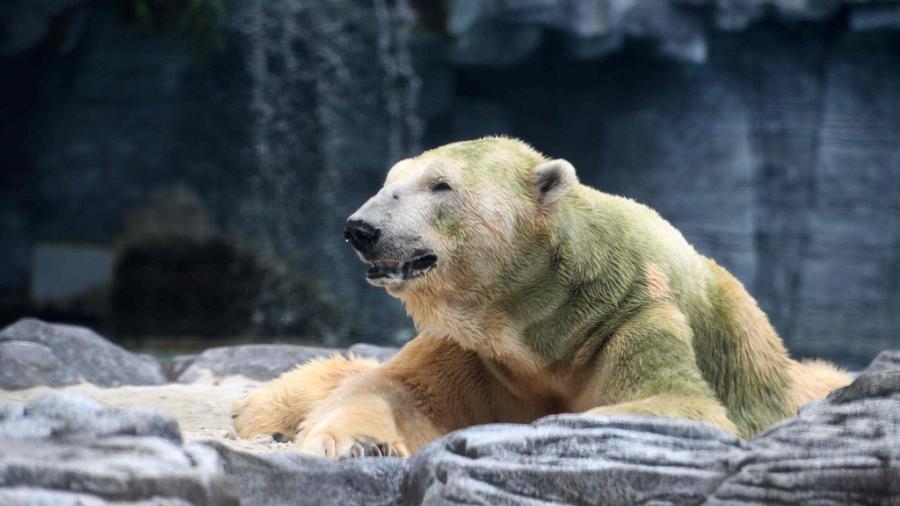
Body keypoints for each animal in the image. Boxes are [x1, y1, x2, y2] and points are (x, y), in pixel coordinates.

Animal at [232, 136, 851, 458]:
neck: (546, 321)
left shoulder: (636, 320)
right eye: (389, 183)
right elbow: (395, 390)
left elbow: (677, 403)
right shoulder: (477, 349)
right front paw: (360, 444)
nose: (361, 229)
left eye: (440, 184)